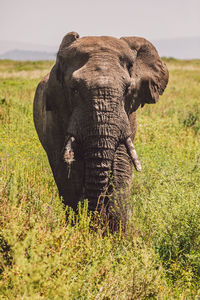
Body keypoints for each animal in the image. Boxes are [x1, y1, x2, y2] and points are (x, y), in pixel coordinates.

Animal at [33, 32, 169, 229]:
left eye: (127, 90)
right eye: (74, 89)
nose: (98, 221)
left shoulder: (127, 116)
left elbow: (121, 164)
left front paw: (117, 232)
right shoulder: (55, 117)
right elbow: (67, 172)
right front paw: (82, 226)